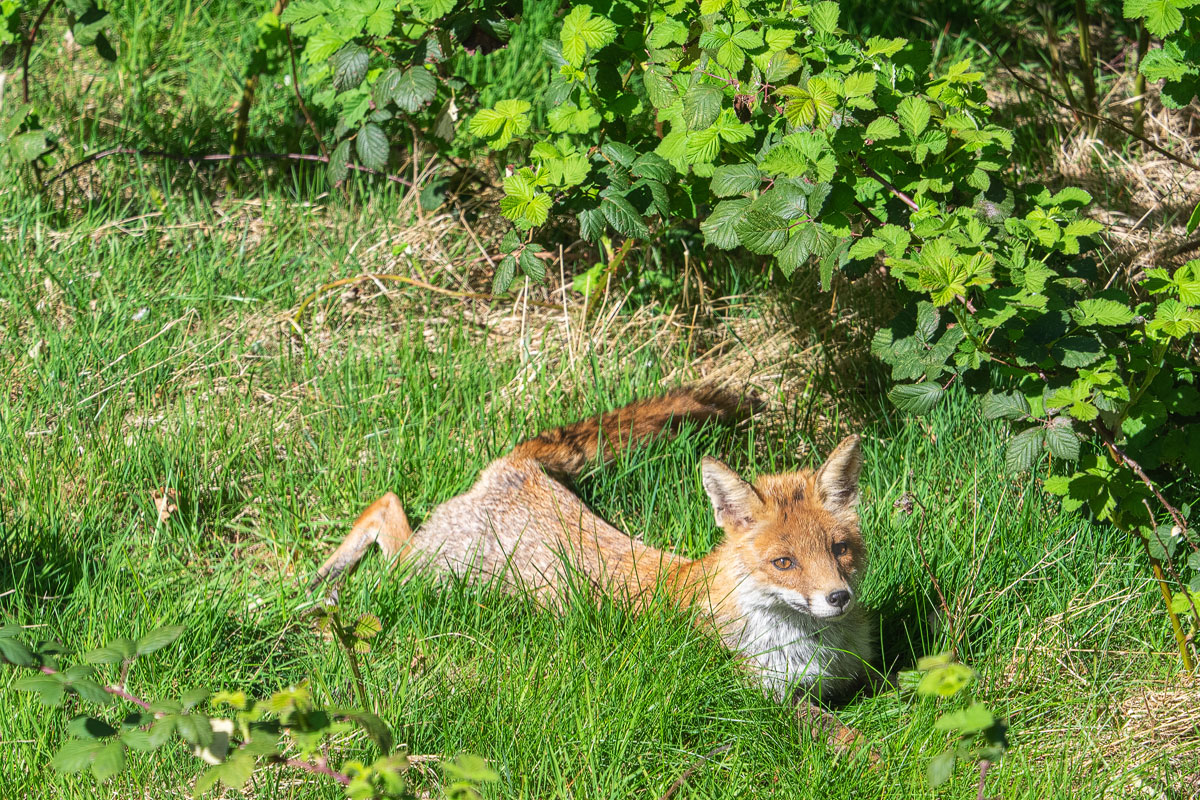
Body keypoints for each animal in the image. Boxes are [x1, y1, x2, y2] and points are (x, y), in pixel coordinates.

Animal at [312, 385, 876, 712]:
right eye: (784, 562)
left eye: (840, 550)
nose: (838, 598)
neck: (811, 649)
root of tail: (524, 467)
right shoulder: (768, 697)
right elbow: (850, 742)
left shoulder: (860, 674)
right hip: (428, 571)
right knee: (385, 506)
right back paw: (323, 581)